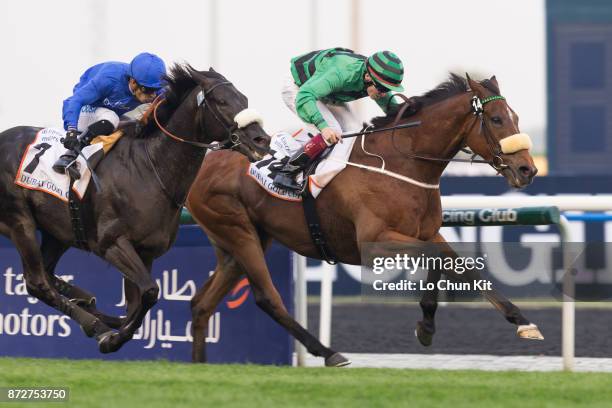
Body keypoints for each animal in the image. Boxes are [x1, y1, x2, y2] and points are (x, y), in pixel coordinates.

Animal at [0, 65, 270, 352]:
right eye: (221, 102)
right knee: (37, 283)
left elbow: (135, 303)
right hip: (20, 221)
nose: (261, 140)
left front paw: (116, 326)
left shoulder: (145, 252)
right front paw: (113, 339)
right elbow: (150, 292)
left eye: (244, 99)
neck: (149, 170)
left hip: (58, 232)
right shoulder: (111, 243)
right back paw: (95, 324)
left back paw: (87, 302)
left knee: (48, 274)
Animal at [185, 74, 540, 366]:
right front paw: (426, 325)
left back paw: (200, 366)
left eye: (515, 117)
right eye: (496, 119)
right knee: (265, 297)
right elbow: (436, 260)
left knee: (201, 303)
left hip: (239, 242)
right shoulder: (375, 242)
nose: (528, 169)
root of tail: (206, 161)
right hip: (238, 231)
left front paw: (522, 321)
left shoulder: (428, 233)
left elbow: (464, 268)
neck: (403, 163)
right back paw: (329, 353)